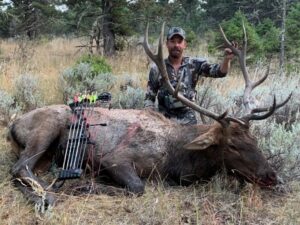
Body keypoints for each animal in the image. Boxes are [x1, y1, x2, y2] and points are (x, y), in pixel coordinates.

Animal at [7, 23, 290, 207]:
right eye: (232, 145)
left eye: (254, 140)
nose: (271, 176)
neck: (177, 157)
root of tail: (13, 125)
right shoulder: (114, 157)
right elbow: (137, 187)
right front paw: (85, 185)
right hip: (47, 127)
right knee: (19, 167)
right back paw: (47, 194)